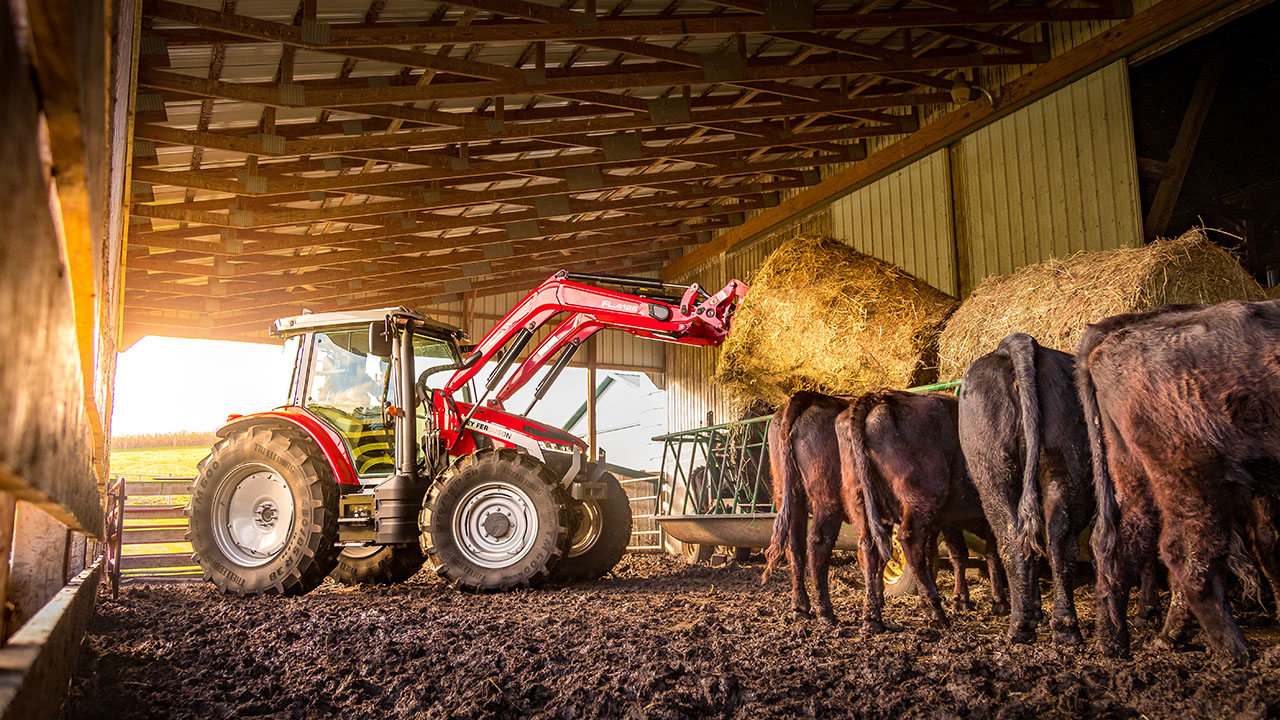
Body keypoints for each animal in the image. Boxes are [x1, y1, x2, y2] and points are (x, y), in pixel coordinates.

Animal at [836, 389, 1007, 632]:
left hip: (862, 503)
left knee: (870, 548)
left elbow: (953, 554)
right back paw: (935, 610)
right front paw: (998, 601)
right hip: (919, 502)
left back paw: (873, 616)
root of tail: (876, 399)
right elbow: (993, 553)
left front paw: (960, 599)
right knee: (909, 542)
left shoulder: (946, 521)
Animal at [959, 333, 1094, 645]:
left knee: (1012, 542)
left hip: (994, 477)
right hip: (1064, 468)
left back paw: (1020, 627)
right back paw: (1065, 628)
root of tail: (1019, 342)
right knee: (1059, 543)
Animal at [1077, 299, 1280, 664]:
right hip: (1192, 479)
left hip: (1133, 474)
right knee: (1186, 556)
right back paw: (1235, 652)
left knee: (1119, 544)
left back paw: (1118, 642)